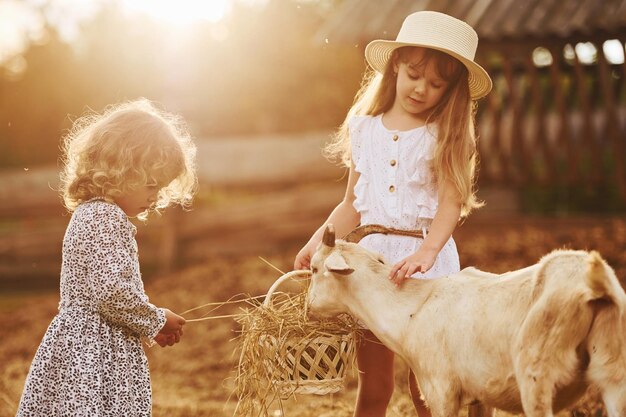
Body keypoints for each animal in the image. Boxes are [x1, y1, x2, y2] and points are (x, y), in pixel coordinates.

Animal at [306, 224, 624, 416]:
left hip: (538, 380)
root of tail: (592, 283)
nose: (307, 310)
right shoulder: (481, 396)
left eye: (314, 269)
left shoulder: (441, 392)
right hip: (613, 374)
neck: (412, 309)